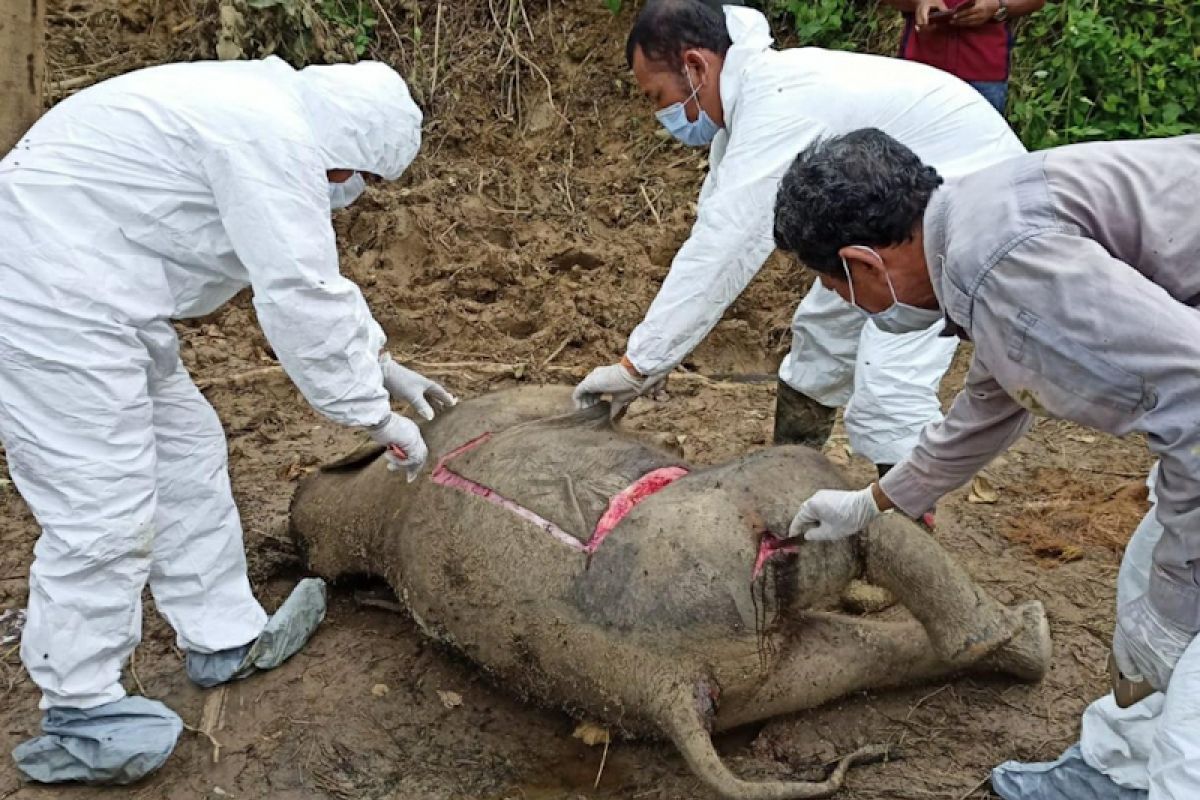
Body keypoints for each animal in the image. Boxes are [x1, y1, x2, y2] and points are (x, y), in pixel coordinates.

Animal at [290, 383, 1051, 796]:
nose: (292, 528)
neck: (383, 514)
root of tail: (670, 686)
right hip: (751, 529)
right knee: (861, 525)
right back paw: (1023, 632)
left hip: (767, 674)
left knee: (861, 654)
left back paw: (1021, 650)